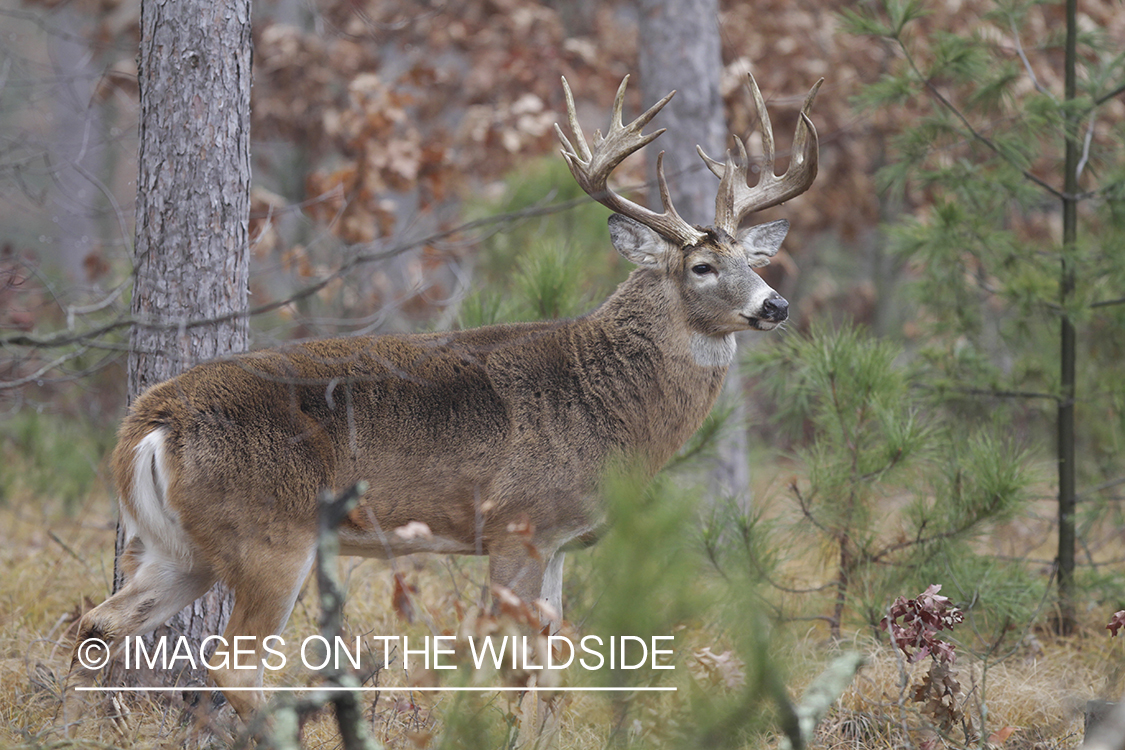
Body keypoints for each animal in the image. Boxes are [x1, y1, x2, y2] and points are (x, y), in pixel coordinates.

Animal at [65, 74, 823, 719]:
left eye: (752, 260)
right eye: (702, 267)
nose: (776, 305)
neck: (603, 400)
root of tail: (151, 423)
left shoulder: (560, 541)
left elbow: (553, 673)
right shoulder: (517, 523)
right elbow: (516, 669)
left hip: (180, 548)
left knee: (98, 622)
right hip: (270, 533)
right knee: (232, 663)